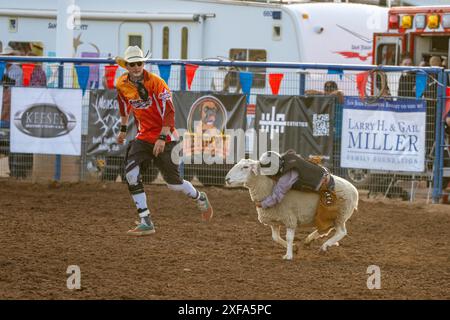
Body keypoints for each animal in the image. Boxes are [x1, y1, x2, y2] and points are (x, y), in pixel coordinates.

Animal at [225, 158, 358, 260]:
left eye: (245, 167)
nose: (227, 179)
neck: (269, 187)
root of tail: (355, 190)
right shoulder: (274, 221)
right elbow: (275, 238)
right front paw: (294, 248)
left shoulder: (289, 218)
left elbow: (288, 237)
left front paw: (288, 255)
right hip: (330, 216)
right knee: (326, 229)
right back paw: (309, 240)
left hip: (341, 214)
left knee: (341, 232)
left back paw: (324, 246)